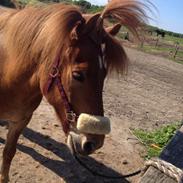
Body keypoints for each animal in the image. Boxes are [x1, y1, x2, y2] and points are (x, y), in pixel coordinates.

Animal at [0, 0, 147, 182]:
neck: (8, 75)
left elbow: (8, 153)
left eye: (104, 75)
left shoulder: (20, 121)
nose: (94, 143)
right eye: (78, 75)